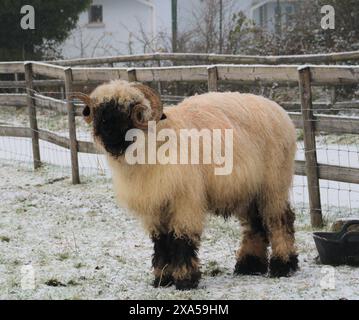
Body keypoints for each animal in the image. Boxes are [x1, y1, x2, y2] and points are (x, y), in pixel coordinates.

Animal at [74, 80, 300, 290]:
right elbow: (161, 241)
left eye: (128, 108)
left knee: (280, 220)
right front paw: (162, 279)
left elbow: (181, 238)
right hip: (247, 189)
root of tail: (280, 110)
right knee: (255, 224)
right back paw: (250, 266)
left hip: (274, 184)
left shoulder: (185, 201)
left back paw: (283, 266)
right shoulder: (155, 206)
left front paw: (185, 280)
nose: (106, 133)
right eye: (99, 109)